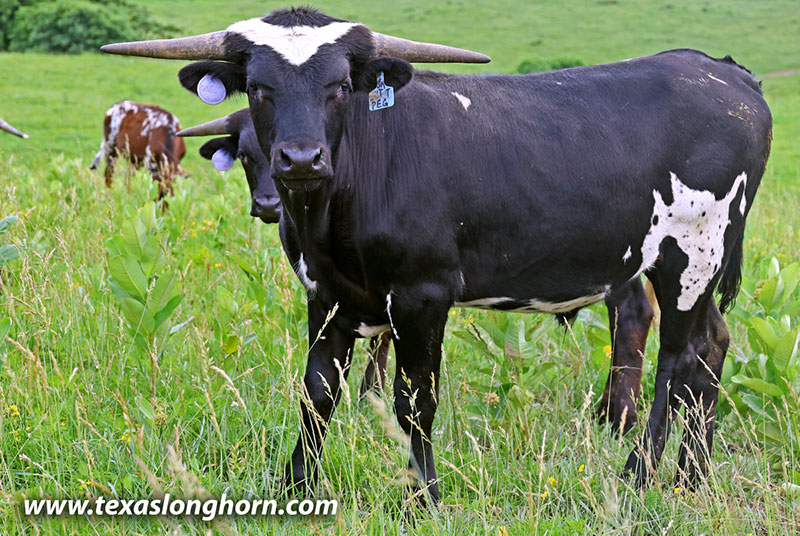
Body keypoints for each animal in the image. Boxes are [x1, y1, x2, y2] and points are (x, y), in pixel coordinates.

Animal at [102, 7, 772, 503]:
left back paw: (637, 477)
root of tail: (723, 71)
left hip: (691, 252)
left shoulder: (421, 296)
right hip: (693, 262)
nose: (299, 159)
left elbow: (413, 401)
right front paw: (295, 488)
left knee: (678, 359)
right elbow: (317, 393)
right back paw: (690, 480)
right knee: (712, 345)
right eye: (259, 88)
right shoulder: (328, 295)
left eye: (340, 86)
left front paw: (422, 495)